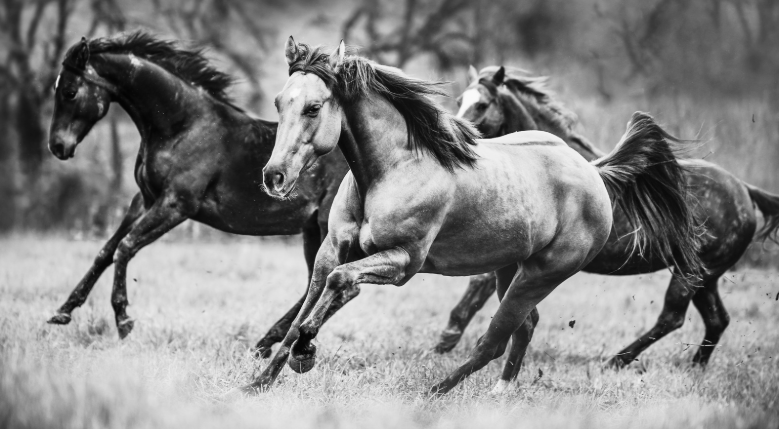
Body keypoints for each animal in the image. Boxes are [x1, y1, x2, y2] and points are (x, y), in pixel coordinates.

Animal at [46, 32, 351, 343]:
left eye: (69, 92)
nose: (57, 146)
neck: (182, 126)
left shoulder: (176, 205)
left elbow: (125, 247)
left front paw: (123, 319)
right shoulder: (144, 200)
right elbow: (106, 251)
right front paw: (63, 311)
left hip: (328, 229)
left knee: (334, 287)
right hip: (312, 231)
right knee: (315, 284)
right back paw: (268, 342)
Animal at [246, 38, 703, 396]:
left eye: (313, 107)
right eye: (279, 103)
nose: (273, 176)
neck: (391, 170)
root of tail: (595, 172)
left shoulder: (403, 261)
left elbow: (339, 285)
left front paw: (305, 354)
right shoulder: (332, 250)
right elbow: (308, 306)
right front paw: (259, 381)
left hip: (541, 274)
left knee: (495, 339)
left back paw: (433, 392)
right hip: (508, 269)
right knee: (525, 327)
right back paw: (500, 394)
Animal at [434, 66, 779, 370]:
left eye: (482, 103)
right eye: (460, 99)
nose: (454, 133)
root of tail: (745, 191)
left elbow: (480, 283)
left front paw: (445, 339)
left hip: (690, 273)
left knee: (673, 317)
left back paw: (616, 361)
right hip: (706, 276)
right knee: (717, 319)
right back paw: (694, 367)